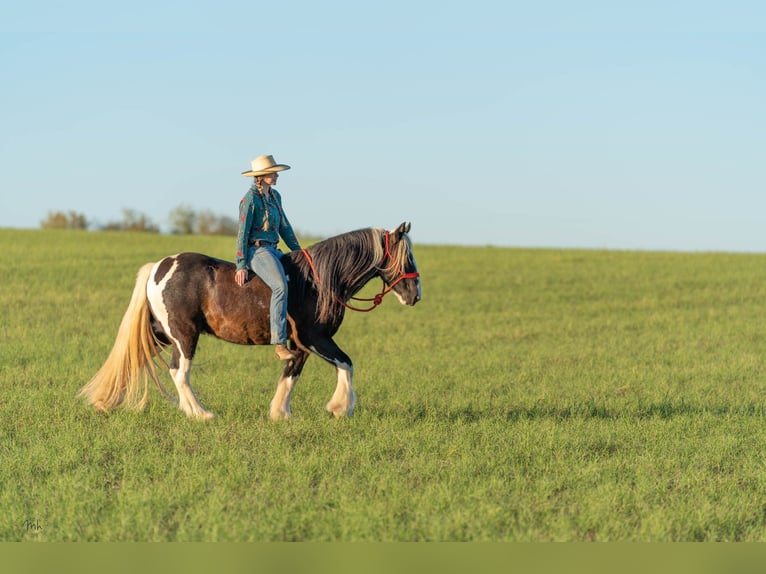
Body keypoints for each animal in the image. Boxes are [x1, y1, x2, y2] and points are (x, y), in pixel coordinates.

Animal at [81, 223, 424, 420]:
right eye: (407, 257)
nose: (415, 294)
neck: (318, 281)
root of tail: (160, 267)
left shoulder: (299, 344)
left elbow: (290, 375)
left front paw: (280, 414)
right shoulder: (315, 338)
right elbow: (347, 364)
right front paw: (340, 407)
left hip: (160, 333)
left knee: (139, 360)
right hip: (184, 335)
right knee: (179, 371)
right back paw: (201, 414)